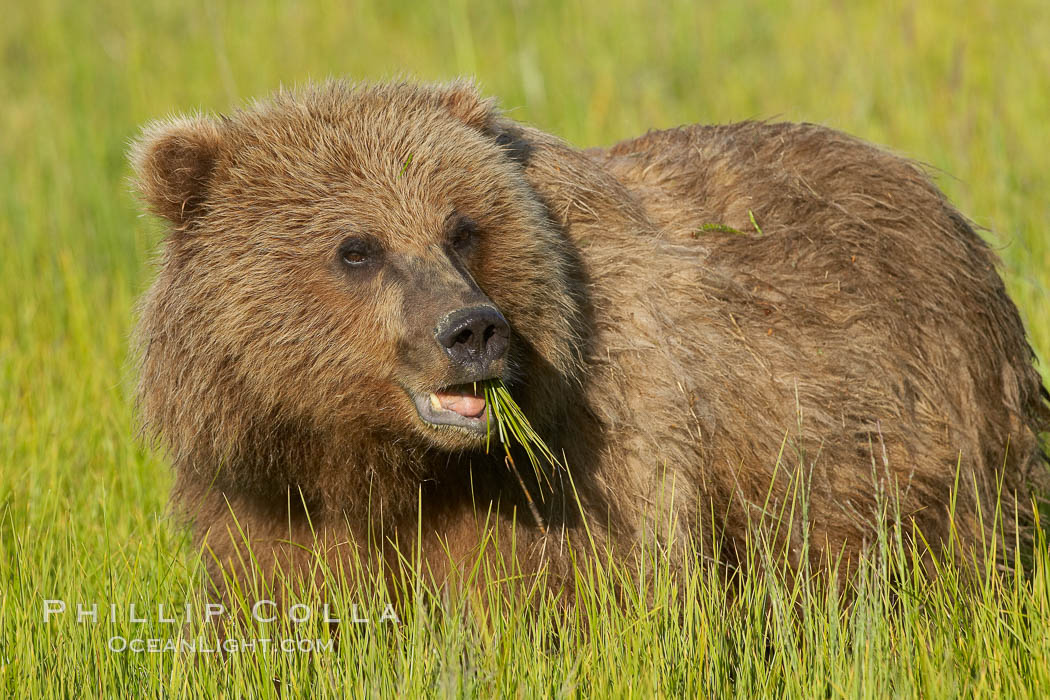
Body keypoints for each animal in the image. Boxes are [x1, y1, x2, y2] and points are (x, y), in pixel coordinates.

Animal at [131, 79, 1050, 600]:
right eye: (356, 247)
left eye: (462, 227)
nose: (473, 330)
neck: (384, 462)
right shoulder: (266, 494)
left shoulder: (583, 467)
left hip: (929, 428)